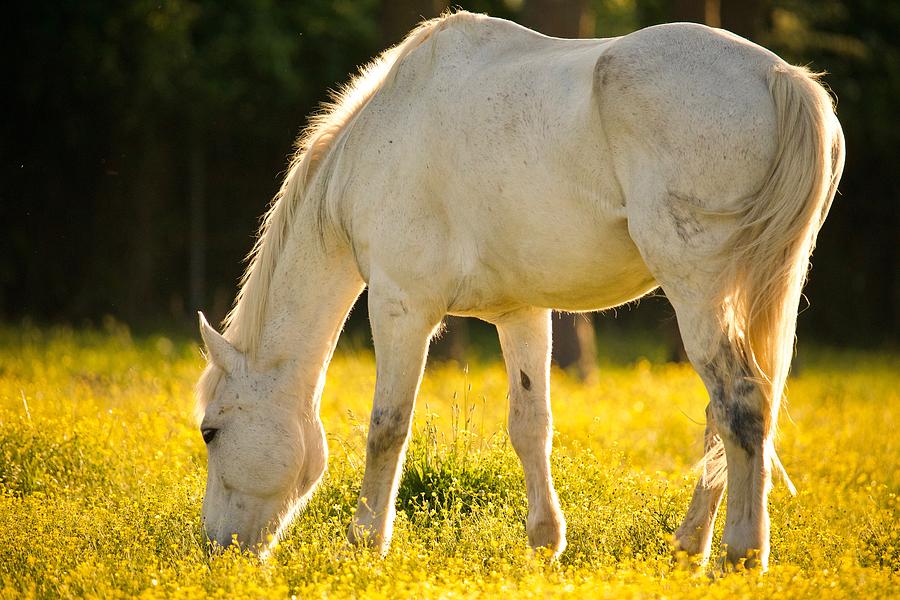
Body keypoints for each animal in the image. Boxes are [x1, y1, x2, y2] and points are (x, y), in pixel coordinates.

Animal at [195, 10, 844, 572]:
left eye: (211, 431)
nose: (215, 550)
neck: (381, 143)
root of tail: (779, 77)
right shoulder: (521, 313)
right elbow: (531, 427)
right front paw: (543, 544)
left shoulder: (400, 307)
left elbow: (387, 428)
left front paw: (364, 544)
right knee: (725, 414)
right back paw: (689, 546)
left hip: (697, 292)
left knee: (740, 404)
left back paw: (740, 554)